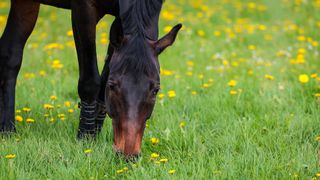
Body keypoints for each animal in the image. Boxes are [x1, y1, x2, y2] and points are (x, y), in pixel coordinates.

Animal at [0, 0, 181, 159]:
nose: (128, 155)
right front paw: (85, 138)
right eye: (113, 86)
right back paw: (8, 131)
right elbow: (91, 81)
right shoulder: (83, 10)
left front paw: (94, 135)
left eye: (155, 90)